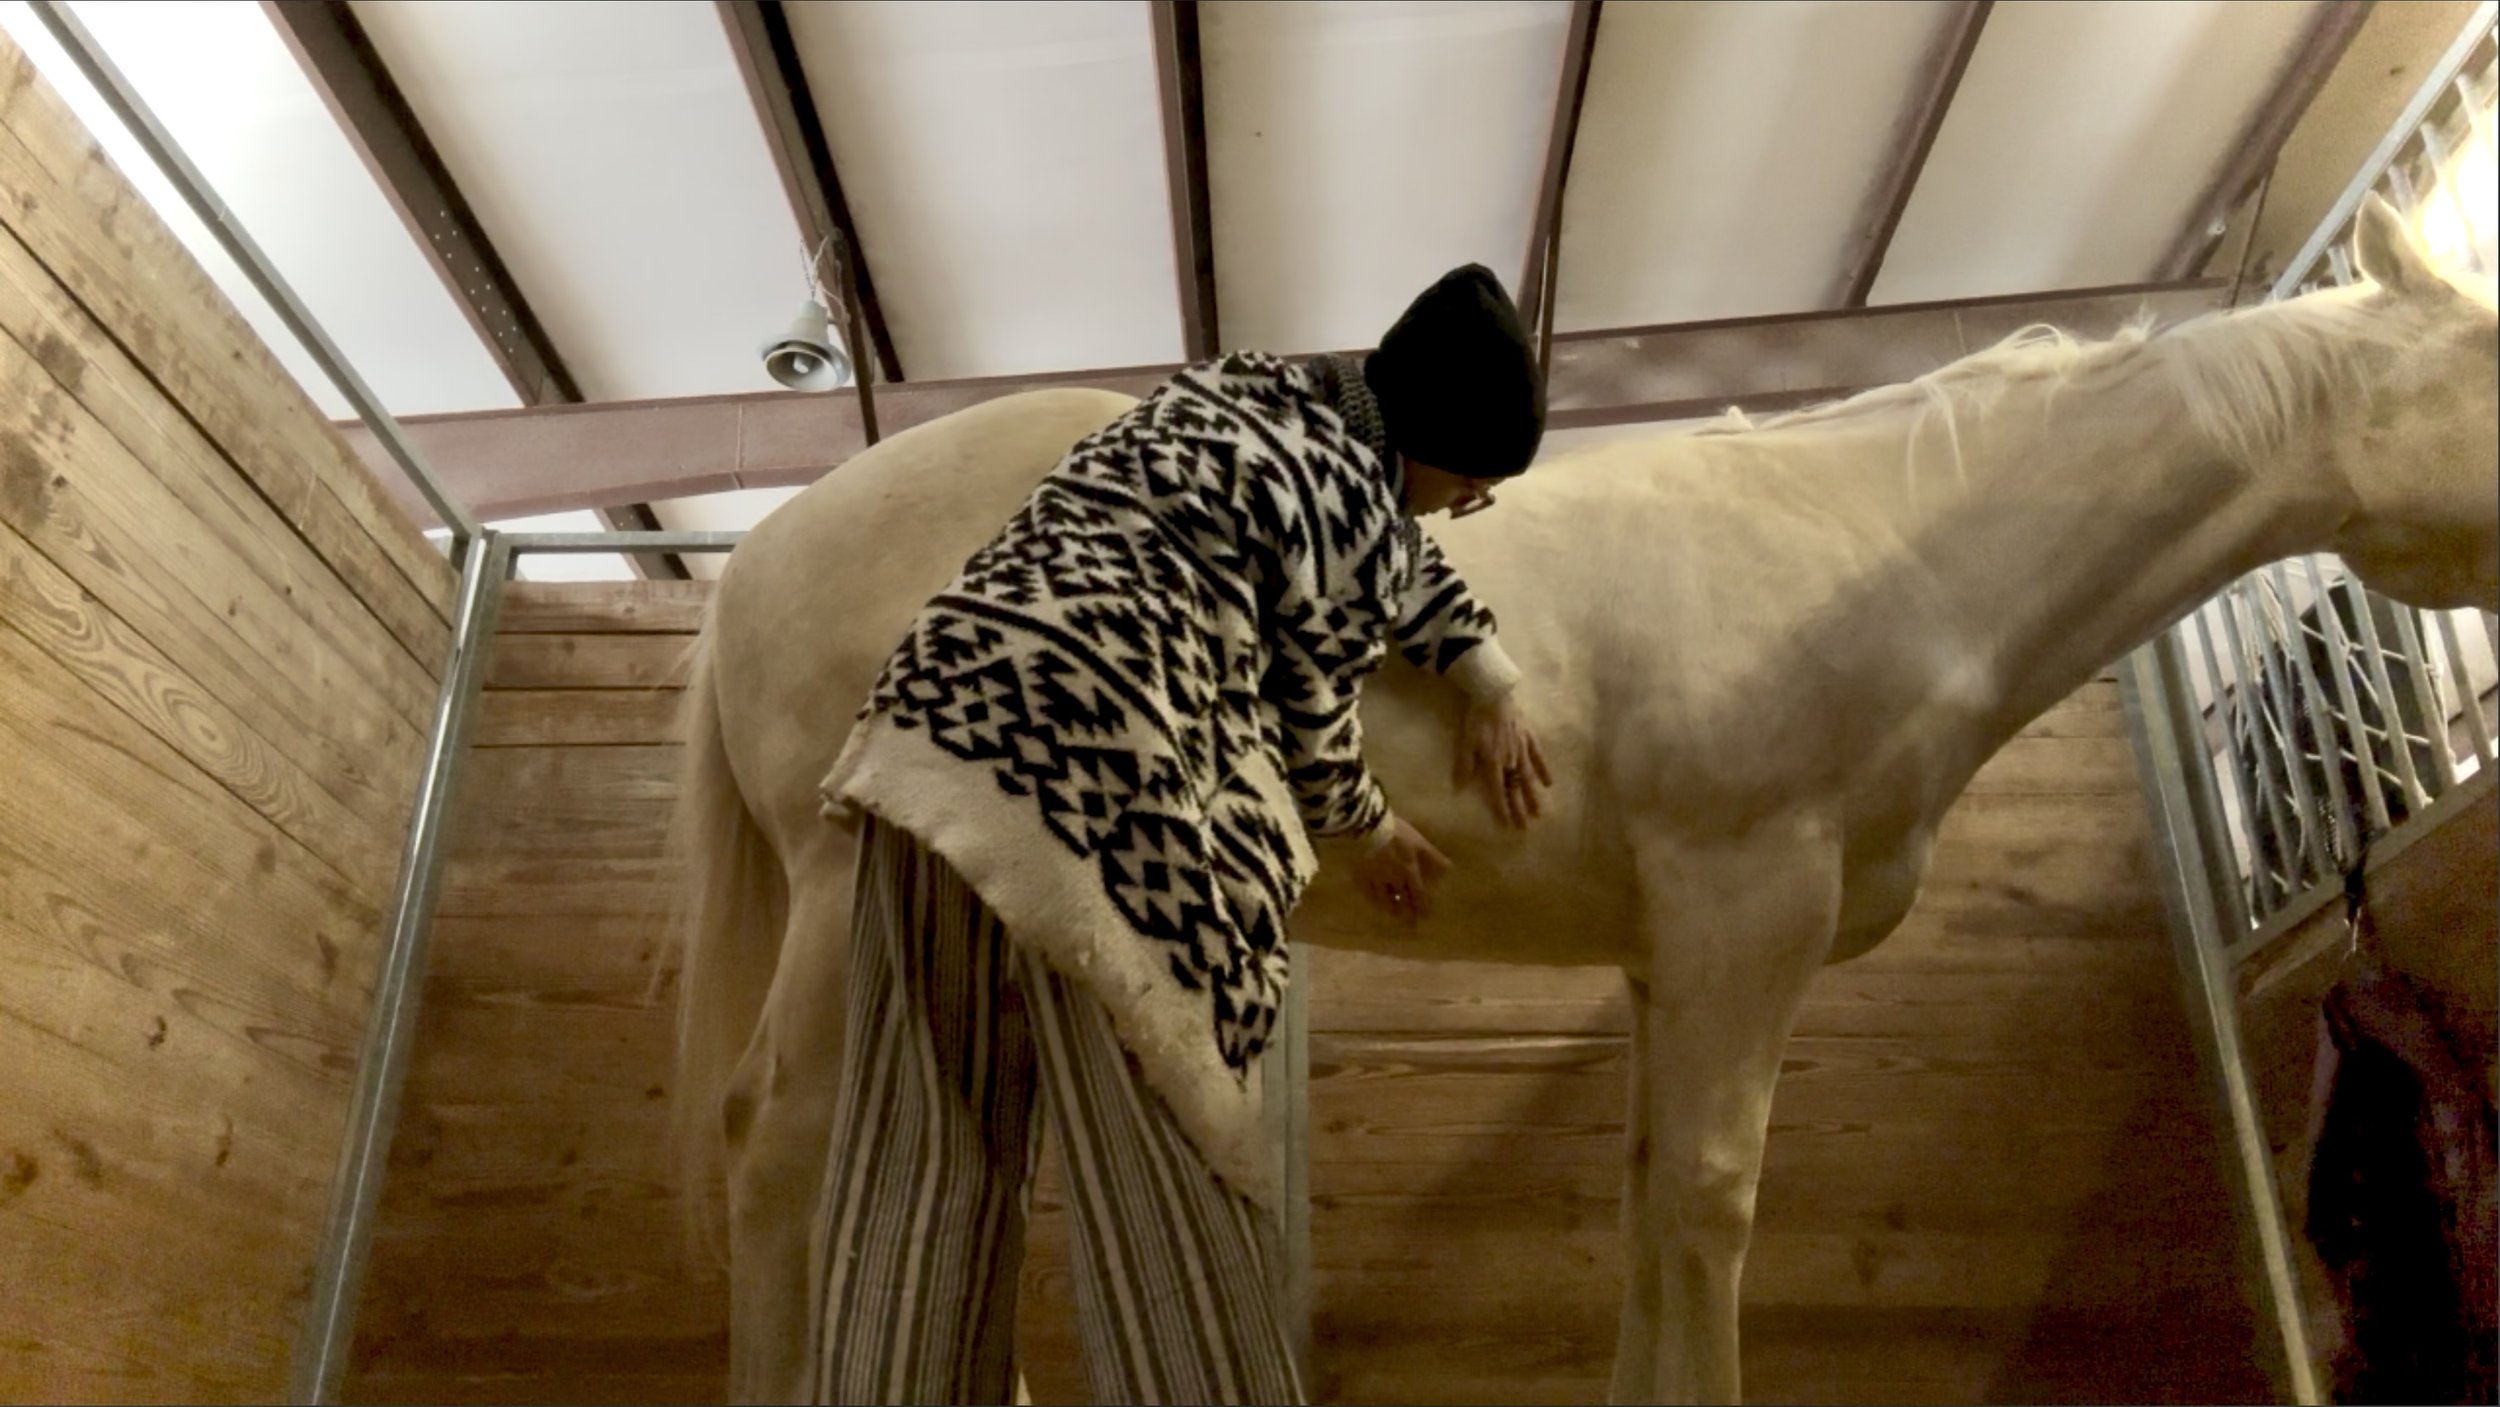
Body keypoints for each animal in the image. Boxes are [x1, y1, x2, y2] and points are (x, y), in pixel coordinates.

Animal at [668, 200, 2496, 1403]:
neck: (1880, 550)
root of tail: (760, 547)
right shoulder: (1747, 921)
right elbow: (1708, 1201)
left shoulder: (1668, 959)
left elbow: (1643, 1200)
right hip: (858, 901)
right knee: (779, 1145)